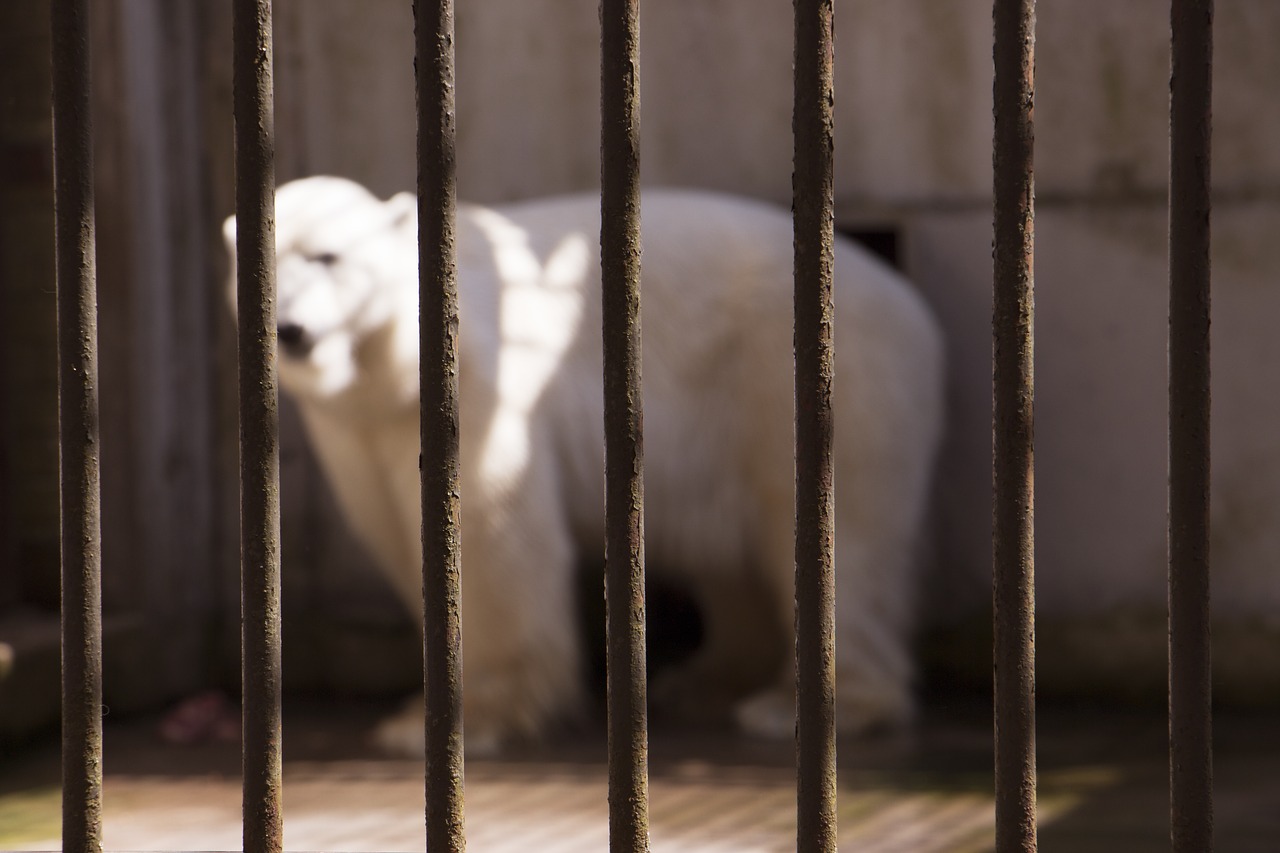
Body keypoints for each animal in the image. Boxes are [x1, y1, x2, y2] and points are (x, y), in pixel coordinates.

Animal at [222, 174, 942, 753]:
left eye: (327, 255)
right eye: (262, 267)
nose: (290, 329)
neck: (388, 371)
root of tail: (910, 301)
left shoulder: (478, 385)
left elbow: (490, 541)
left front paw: (467, 720)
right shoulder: (359, 433)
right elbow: (401, 531)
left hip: (813, 380)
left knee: (843, 536)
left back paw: (803, 703)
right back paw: (705, 681)